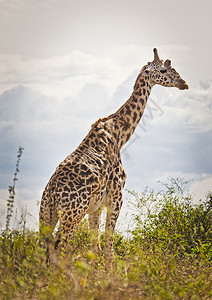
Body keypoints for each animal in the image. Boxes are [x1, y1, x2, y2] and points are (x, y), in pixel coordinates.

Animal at [39, 48, 188, 268]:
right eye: (163, 70)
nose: (183, 83)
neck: (119, 135)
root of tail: (52, 193)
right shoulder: (116, 198)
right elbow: (109, 249)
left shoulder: (95, 207)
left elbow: (96, 250)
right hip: (71, 215)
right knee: (58, 249)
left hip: (46, 215)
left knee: (43, 252)